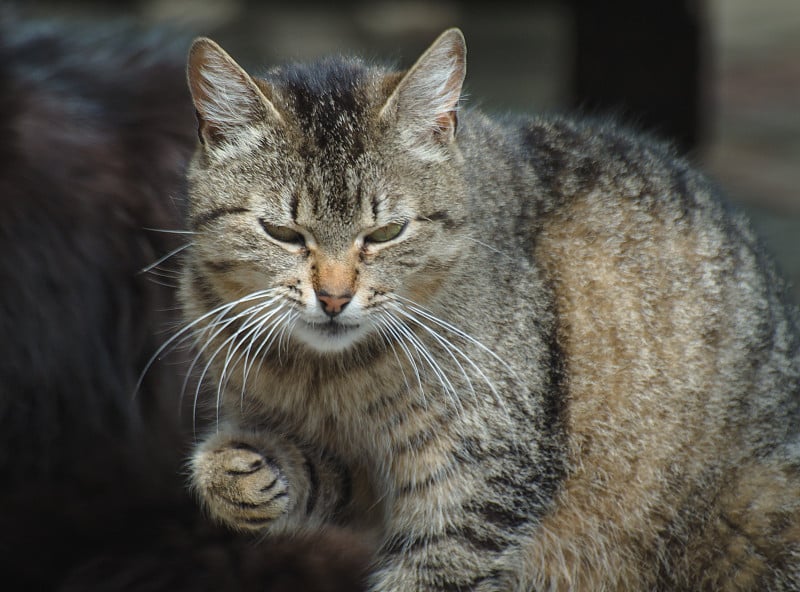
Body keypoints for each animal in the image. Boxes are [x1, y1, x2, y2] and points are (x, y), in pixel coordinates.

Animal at [181, 28, 800, 592]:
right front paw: (236, 473)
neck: (326, 376)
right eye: (283, 233)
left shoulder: (479, 487)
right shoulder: (362, 474)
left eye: (385, 233)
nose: (334, 298)